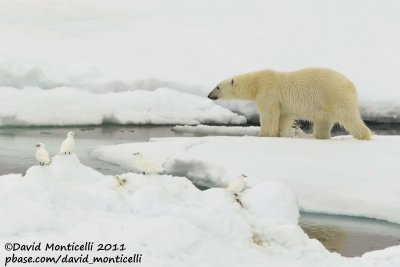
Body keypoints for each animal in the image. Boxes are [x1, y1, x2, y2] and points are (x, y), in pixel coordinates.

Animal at [209, 68, 372, 140]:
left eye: (217, 87)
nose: (209, 95)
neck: (257, 82)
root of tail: (350, 85)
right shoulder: (282, 103)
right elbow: (283, 116)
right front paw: (279, 133)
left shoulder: (268, 91)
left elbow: (269, 115)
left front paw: (263, 135)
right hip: (325, 106)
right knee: (323, 123)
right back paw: (319, 137)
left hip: (335, 96)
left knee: (348, 117)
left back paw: (364, 136)